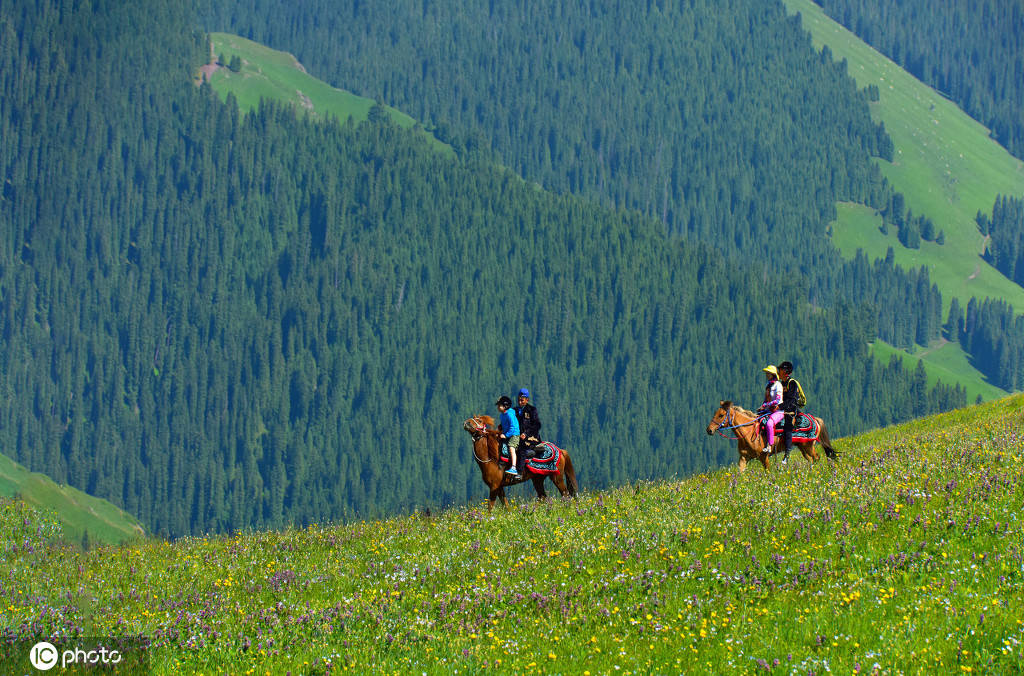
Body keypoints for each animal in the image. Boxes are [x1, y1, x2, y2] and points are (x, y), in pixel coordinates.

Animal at [704, 401, 839, 469]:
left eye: (721, 415)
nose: (709, 430)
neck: (749, 432)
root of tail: (815, 419)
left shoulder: (764, 457)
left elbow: (767, 472)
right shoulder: (743, 458)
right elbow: (739, 473)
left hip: (808, 446)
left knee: (816, 457)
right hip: (802, 447)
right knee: (811, 459)